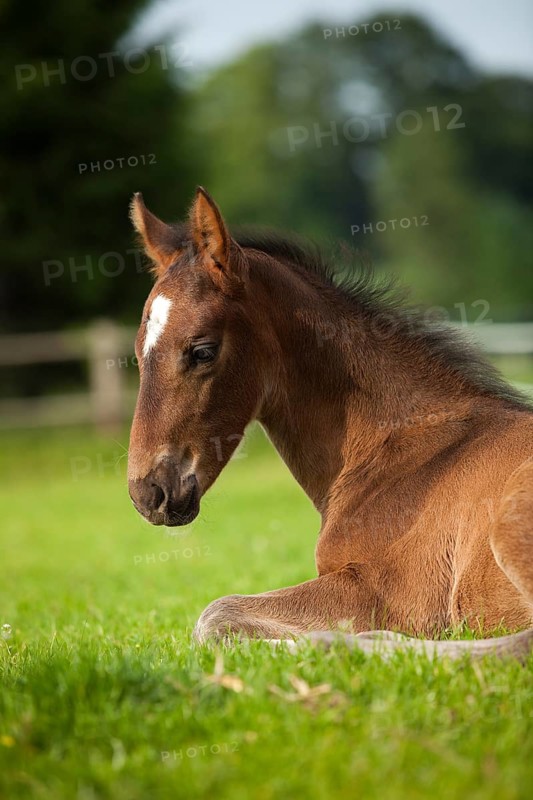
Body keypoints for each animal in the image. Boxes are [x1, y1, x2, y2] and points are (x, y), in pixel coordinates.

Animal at [127, 187, 533, 660]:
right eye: (138, 352)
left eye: (202, 350)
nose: (148, 493)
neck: (399, 450)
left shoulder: (391, 594)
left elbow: (215, 614)